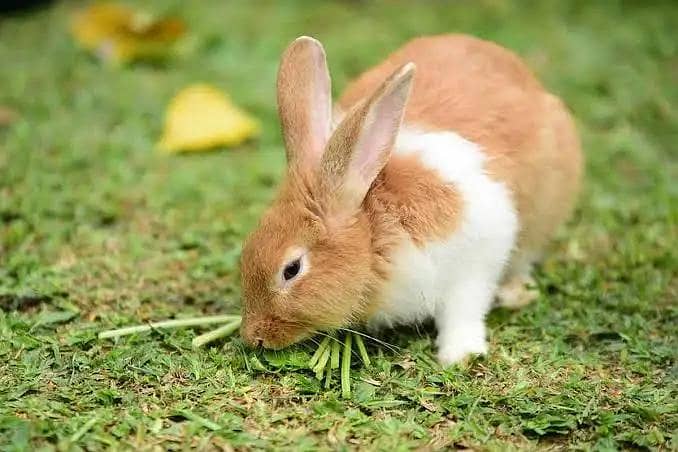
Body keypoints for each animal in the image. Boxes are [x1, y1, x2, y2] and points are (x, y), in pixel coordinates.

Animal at [239, 34, 582, 365]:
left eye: (292, 269)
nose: (254, 337)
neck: (377, 231)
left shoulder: (478, 255)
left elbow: (464, 310)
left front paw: (459, 355)